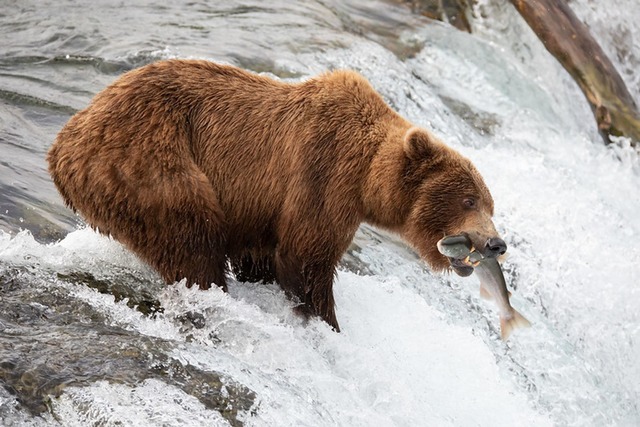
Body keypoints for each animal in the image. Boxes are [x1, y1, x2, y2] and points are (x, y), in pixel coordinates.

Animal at [47, 59, 504, 332]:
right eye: (469, 200)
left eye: (490, 203)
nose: (495, 243)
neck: (367, 178)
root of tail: (64, 142)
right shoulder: (323, 174)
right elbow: (306, 257)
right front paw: (326, 322)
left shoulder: (261, 209)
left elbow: (264, 255)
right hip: (149, 161)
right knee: (191, 237)